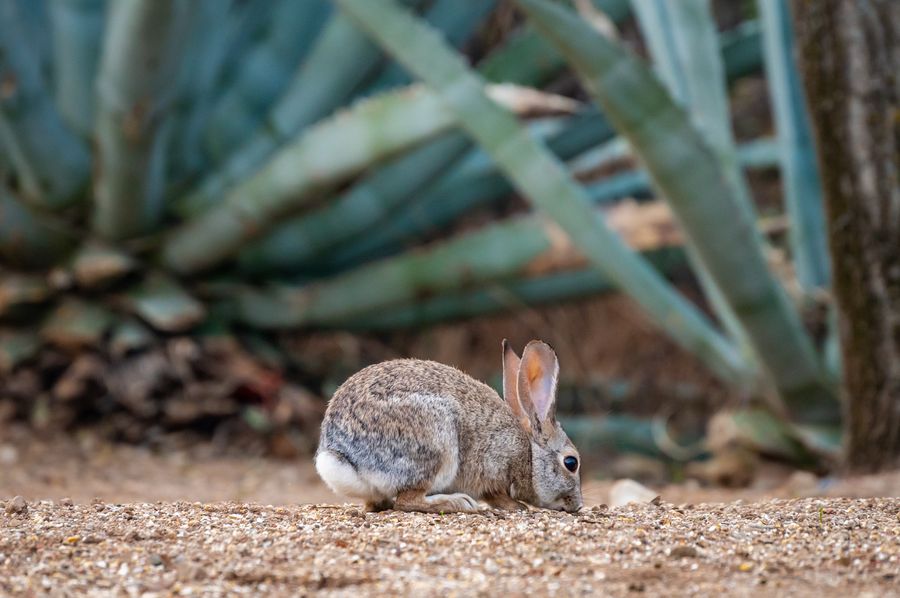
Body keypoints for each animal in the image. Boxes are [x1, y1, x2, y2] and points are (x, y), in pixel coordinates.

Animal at [316, 340, 584, 512]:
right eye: (571, 463)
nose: (578, 504)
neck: (529, 453)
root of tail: (340, 455)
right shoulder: (495, 465)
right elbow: (497, 495)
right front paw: (516, 506)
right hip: (437, 445)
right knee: (407, 501)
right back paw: (459, 503)